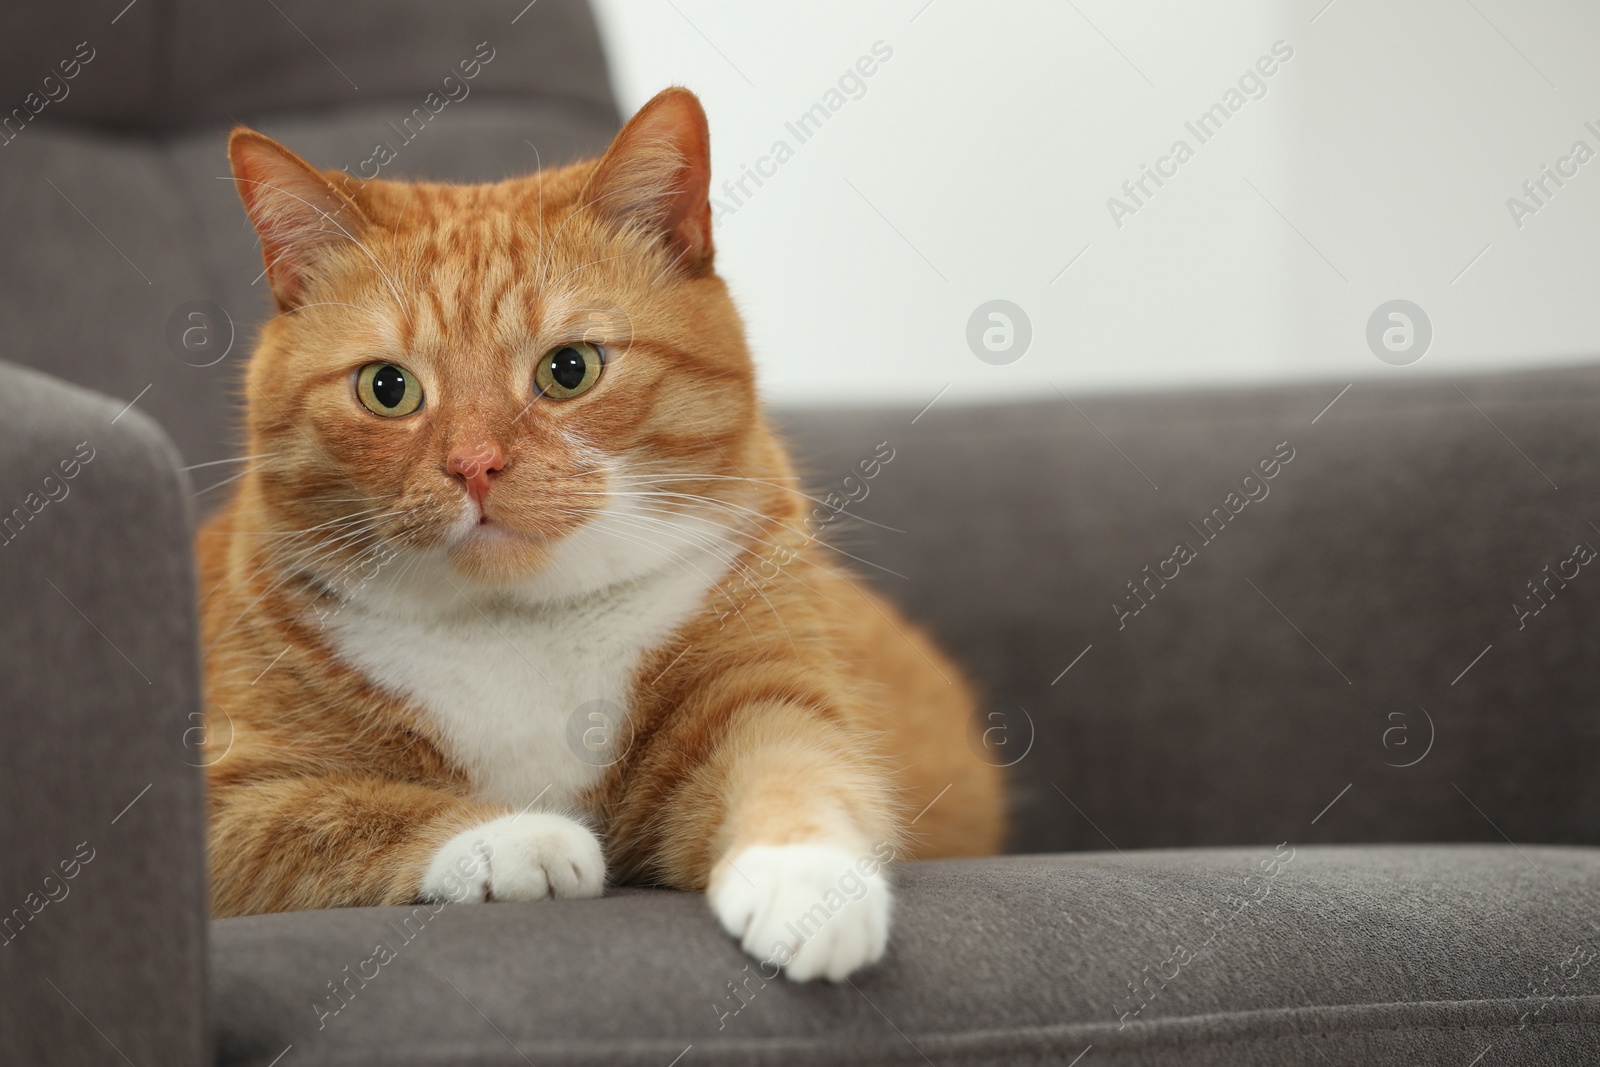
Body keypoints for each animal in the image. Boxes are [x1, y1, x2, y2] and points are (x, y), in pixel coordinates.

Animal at [200, 87, 998, 979]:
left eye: (569, 369)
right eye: (387, 387)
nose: (474, 463)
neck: (516, 627)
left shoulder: (761, 692)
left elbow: (800, 766)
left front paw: (805, 884)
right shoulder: (219, 802)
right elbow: (350, 809)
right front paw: (518, 836)